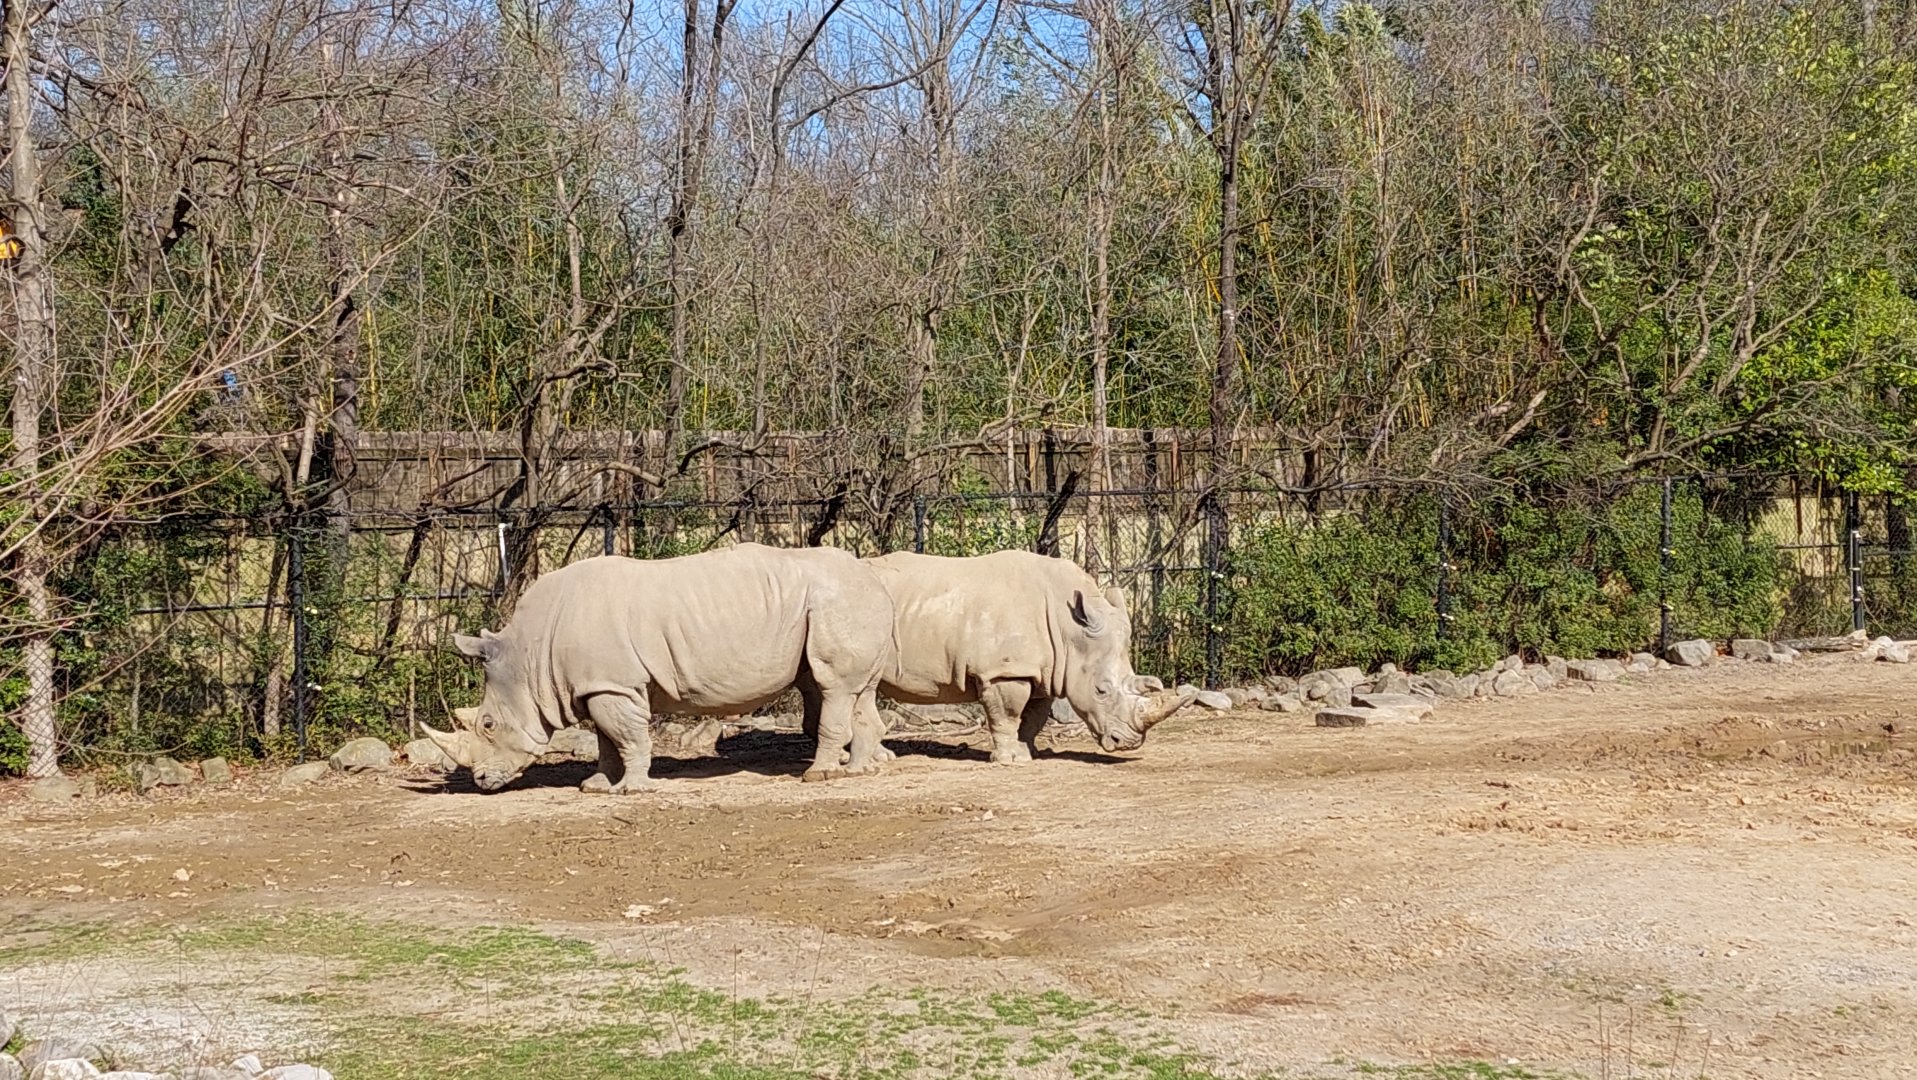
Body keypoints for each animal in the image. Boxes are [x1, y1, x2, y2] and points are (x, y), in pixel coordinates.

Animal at [425, 544, 894, 793]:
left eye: (488, 725)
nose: (482, 780)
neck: (529, 656)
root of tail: (874, 579)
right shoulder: (599, 685)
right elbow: (606, 741)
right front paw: (596, 786)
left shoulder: (612, 684)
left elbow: (627, 737)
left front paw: (631, 790)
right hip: (849, 604)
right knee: (855, 691)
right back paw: (860, 770)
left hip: (839, 601)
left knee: (832, 687)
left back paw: (818, 776)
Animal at [856, 550, 1196, 762]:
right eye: (1101, 691)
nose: (1128, 744)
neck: (1068, 627)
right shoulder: (1004, 671)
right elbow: (1007, 714)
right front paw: (1008, 760)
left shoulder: (1047, 671)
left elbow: (1033, 717)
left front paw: (1025, 753)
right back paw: (879, 758)